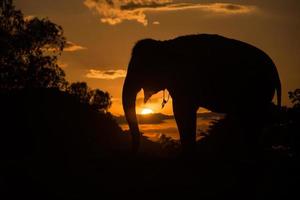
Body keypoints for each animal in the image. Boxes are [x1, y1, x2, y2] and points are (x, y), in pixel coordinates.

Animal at [122, 34, 282, 153]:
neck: (165, 45)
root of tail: (275, 70)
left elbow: (182, 111)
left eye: (140, 69)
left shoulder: (185, 81)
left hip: (258, 90)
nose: (133, 151)